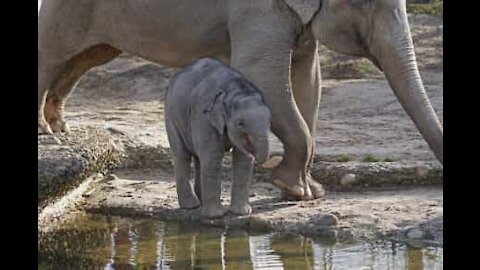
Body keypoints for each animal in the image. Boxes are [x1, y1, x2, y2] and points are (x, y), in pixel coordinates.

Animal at [39, 0, 444, 200]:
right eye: (368, 3)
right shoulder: (258, 10)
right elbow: (263, 75)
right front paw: (291, 188)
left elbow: (308, 81)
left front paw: (308, 193)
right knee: (53, 53)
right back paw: (46, 133)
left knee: (86, 57)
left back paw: (61, 127)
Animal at [165, 58, 270, 218]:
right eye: (240, 123)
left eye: (270, 121)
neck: (232, 90)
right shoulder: (203, 116)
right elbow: (213, 158)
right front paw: (216, 215)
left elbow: (243, 160)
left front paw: (241, 212)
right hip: (171, 116)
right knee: (182, 155)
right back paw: (191, 206)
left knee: (198, 158)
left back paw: (201, 201)